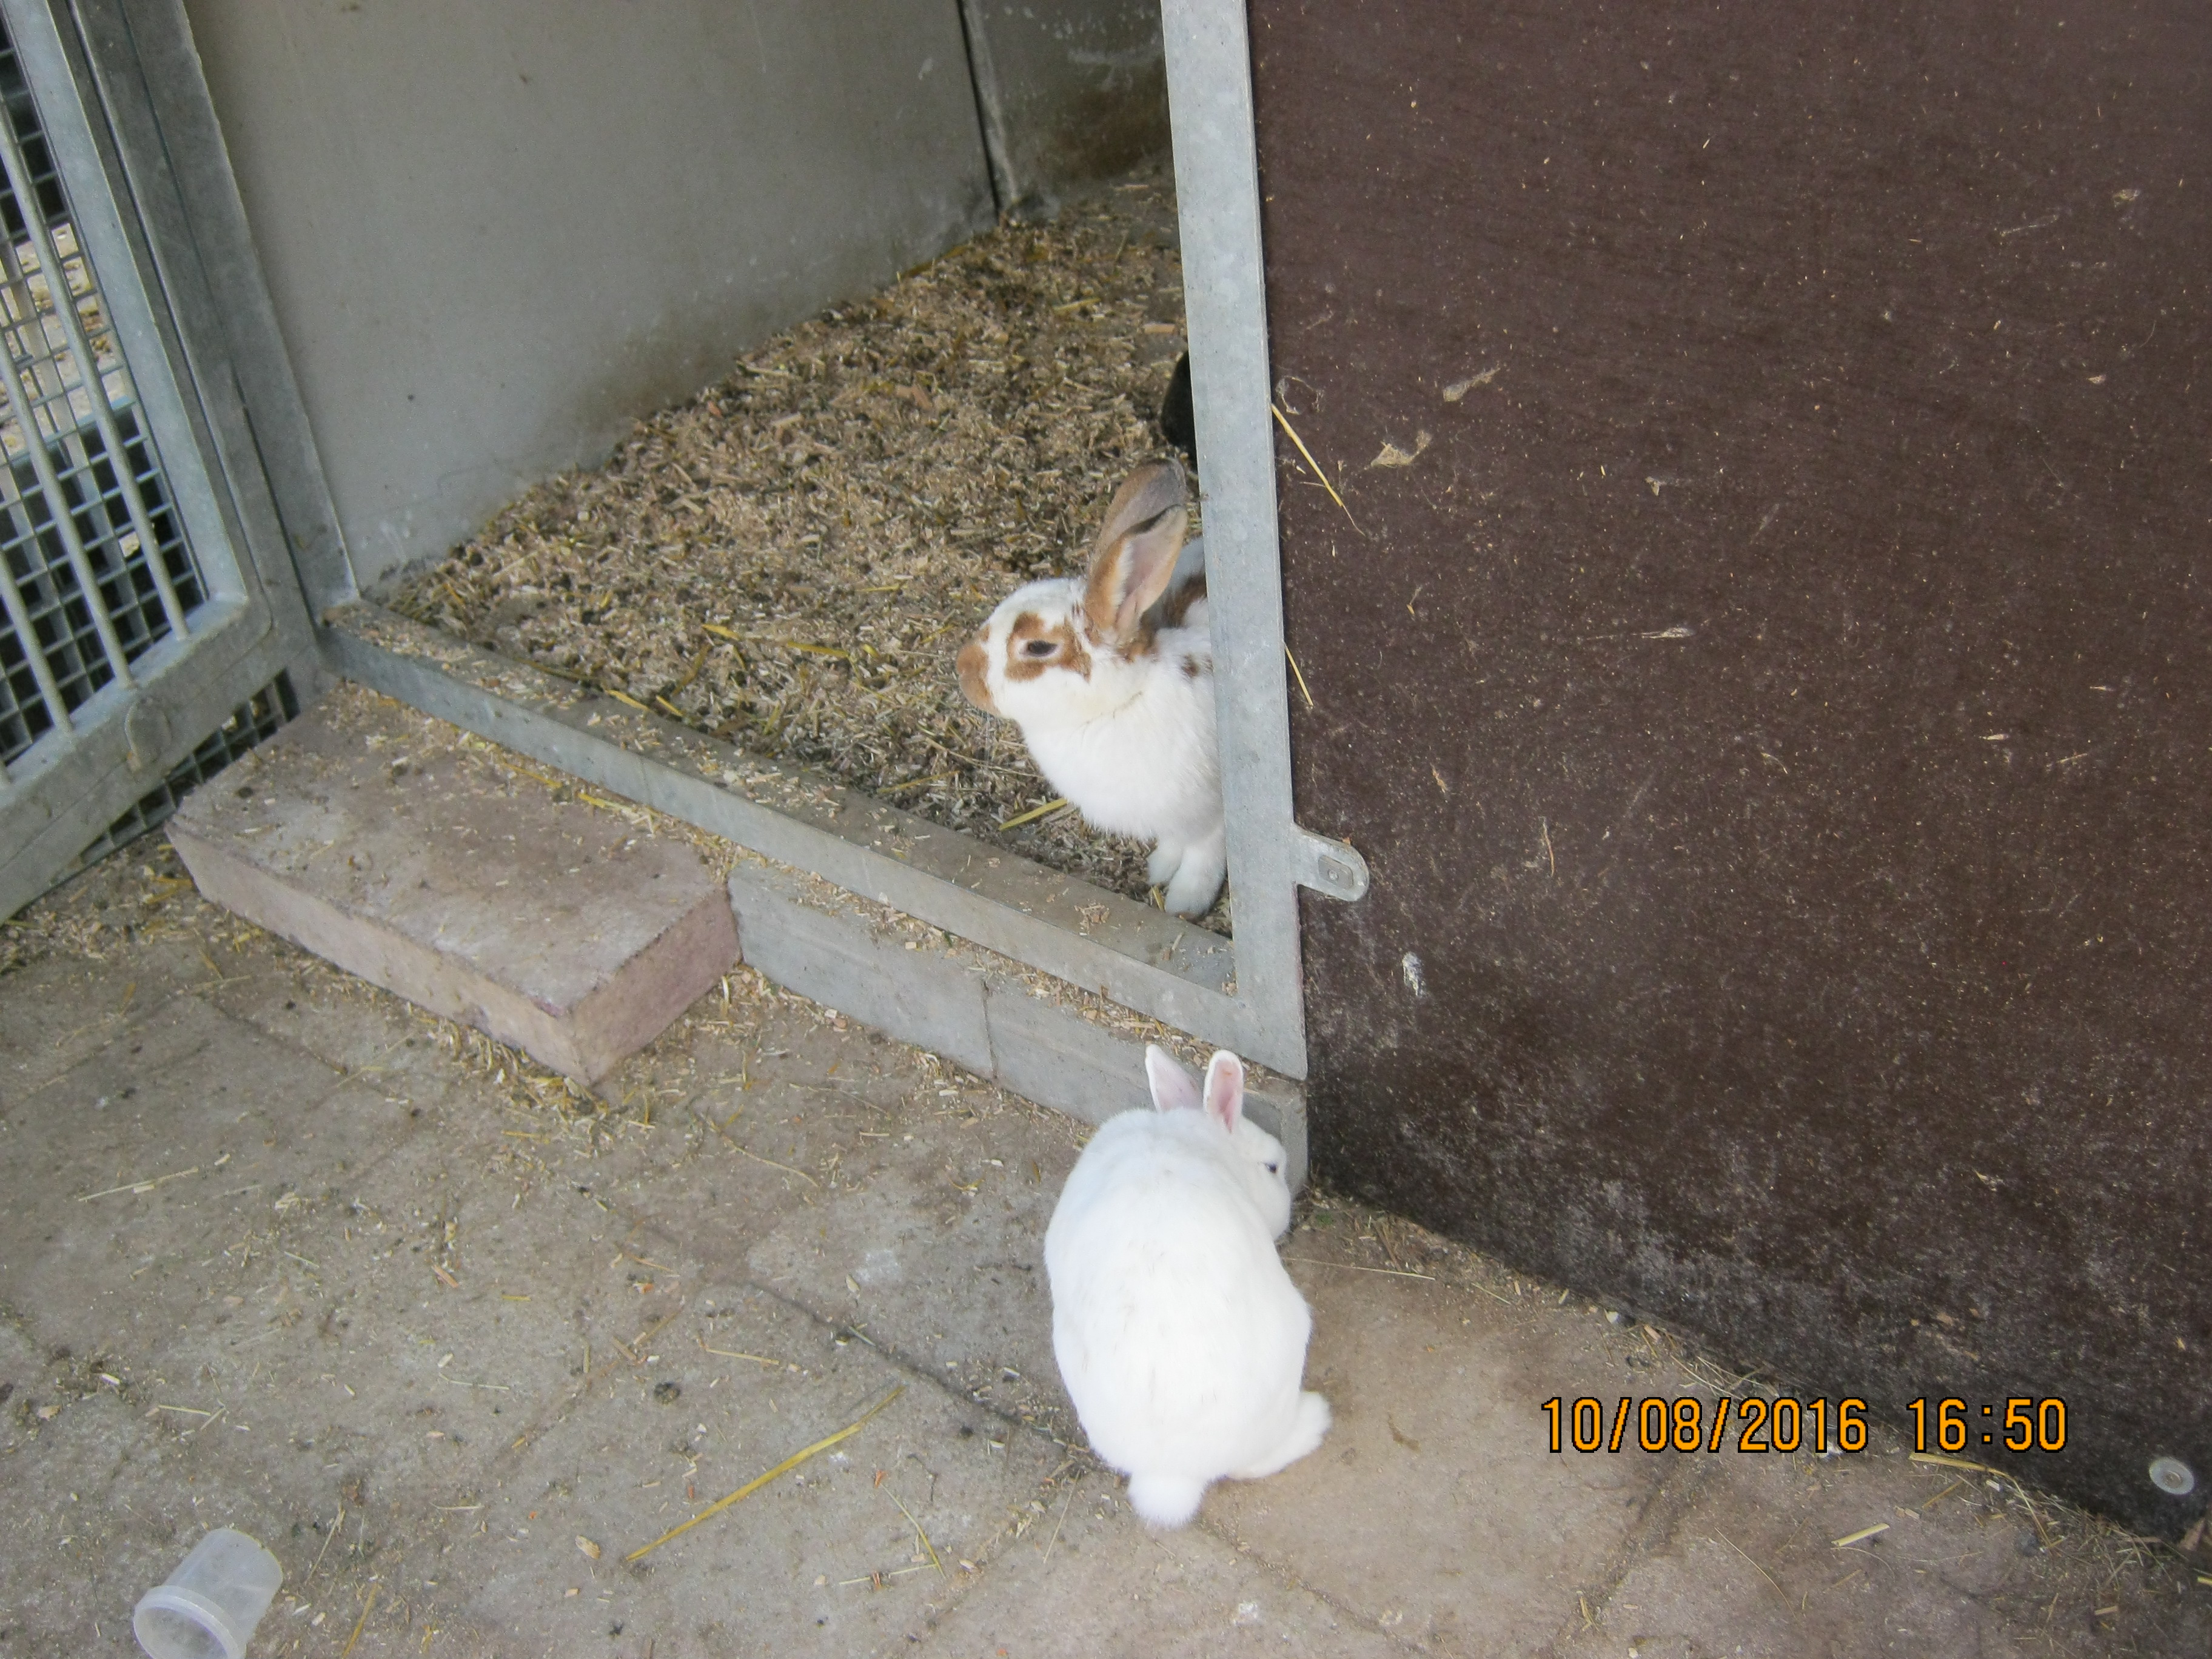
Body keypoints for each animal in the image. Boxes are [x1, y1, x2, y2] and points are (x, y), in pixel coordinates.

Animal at [955, 460, 1225, 917]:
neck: (1125, 700)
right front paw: (1159, 870)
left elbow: (1205, 854)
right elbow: (1175, 845)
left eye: (1038, 647)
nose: (963, 671)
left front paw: (1184, 902)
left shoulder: (1211, 816)